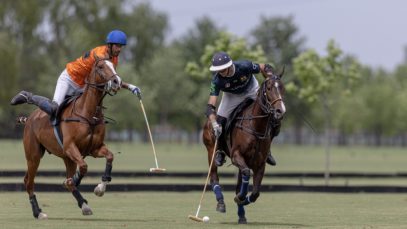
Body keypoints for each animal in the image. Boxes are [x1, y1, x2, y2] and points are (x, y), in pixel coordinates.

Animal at [14, 57, 122, 218]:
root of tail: (29, 119)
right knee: (29, 181)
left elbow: (110, 156)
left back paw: (83, 205)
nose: (116, 81)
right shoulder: (70, 147)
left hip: (67, 158)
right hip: (34, 155)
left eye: (113, 65)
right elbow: (83, 167)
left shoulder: (94, 148)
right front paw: (74, 181)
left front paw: (100, 188)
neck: (89, 114)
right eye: (101, 67)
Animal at [204, 69, 286, 224]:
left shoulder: (260, 164)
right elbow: (247, 174)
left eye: (283, 87)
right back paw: (221, 202)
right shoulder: (236, 156)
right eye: (269, 88)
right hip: (211, 150)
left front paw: (242, 200)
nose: (280, 111)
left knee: (239, 183)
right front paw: (239, 198)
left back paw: (241, 215)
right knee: (214, 176)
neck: (255, 126)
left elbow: (255, 192)